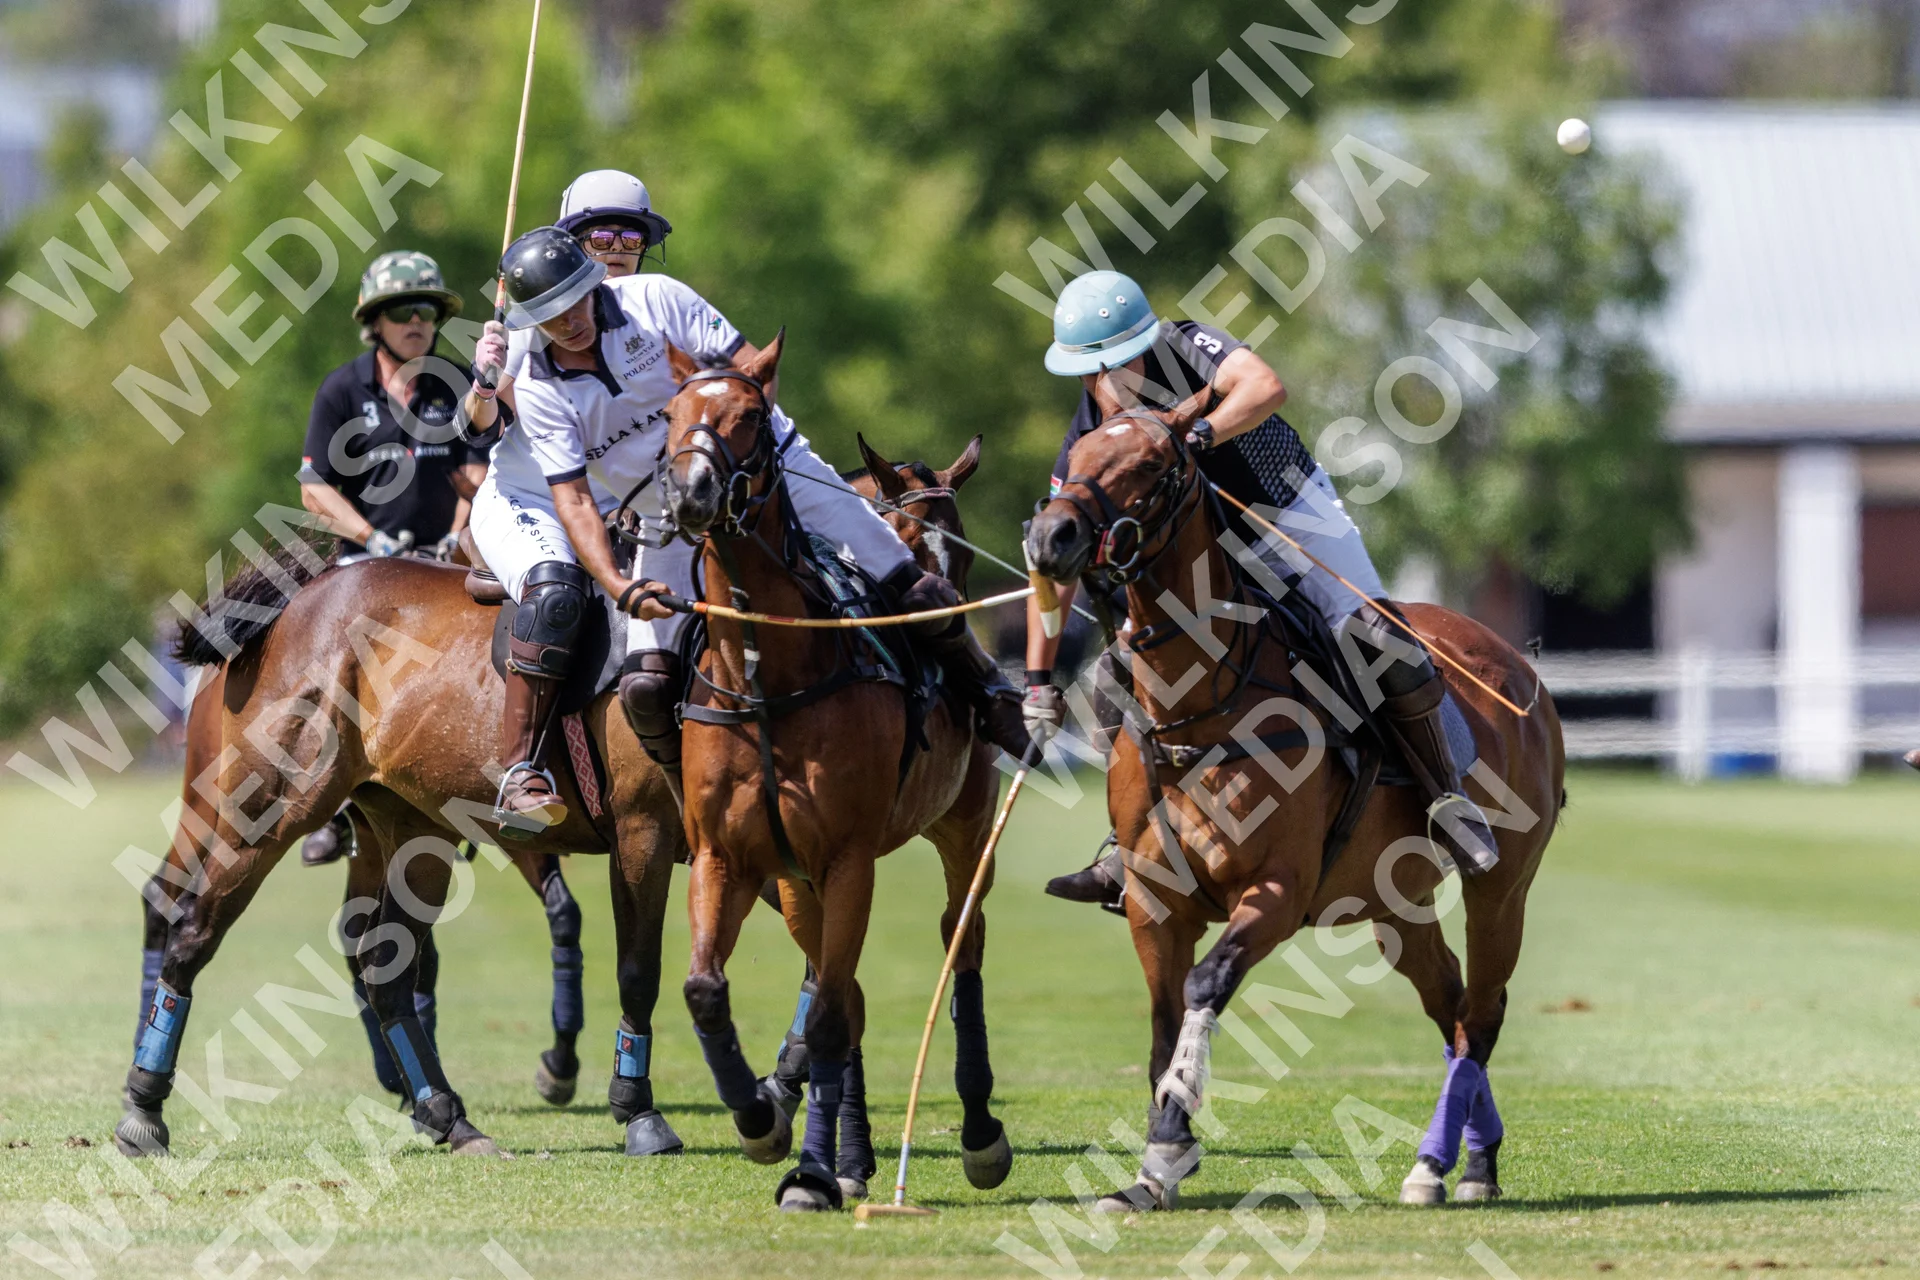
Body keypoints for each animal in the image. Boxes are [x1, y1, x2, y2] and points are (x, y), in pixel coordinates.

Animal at [659, 334, 1013, 1212]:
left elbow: (826, 1016)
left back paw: (979, 1133)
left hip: (963, 829)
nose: (691, 491)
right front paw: (763, 1122)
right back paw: (851, 1155)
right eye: (673, 412)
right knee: (841, 984)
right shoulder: (727, 855)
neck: (764, 672)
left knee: (960, 937)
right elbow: (709, 988)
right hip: (795, 884)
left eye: (751, 417)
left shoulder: (849, 856)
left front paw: (811, 1171)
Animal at [1025, 387, 1564, 1211]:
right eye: (1077, 456)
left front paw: (1170, 1142)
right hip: (1395, 904)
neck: (1202, 704)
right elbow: (1161, 1019)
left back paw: (1445, 1167)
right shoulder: (1153, 899)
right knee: (1451, 1002)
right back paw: (1470, 1159)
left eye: (1150, 463)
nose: (1051, 536)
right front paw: (1152, 1171)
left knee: (1484, 1010)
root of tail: (1522, 674)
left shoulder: (1277, 887)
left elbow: (1206, 983)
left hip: (1503, 886)